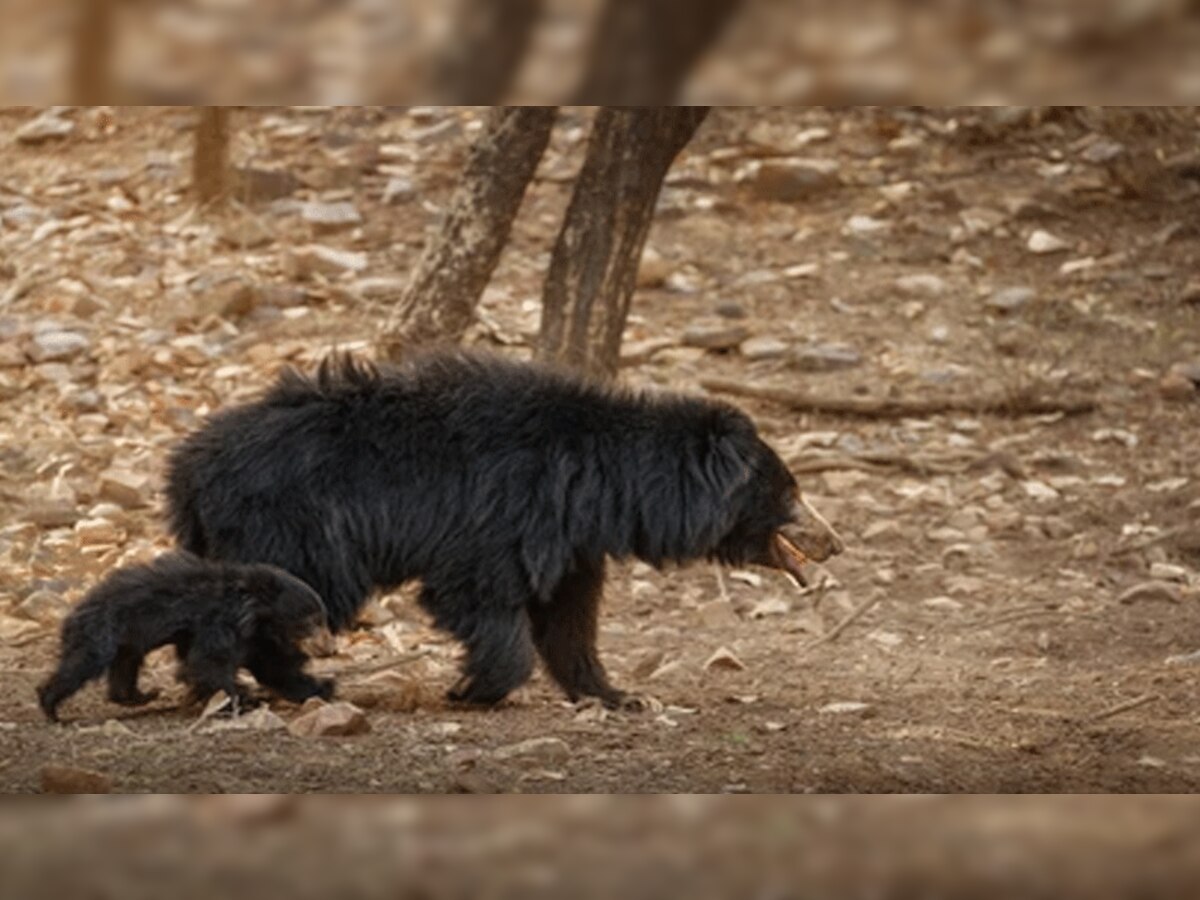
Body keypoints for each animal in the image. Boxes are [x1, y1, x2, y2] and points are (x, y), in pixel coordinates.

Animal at [38, 554, 333, 724]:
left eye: (322, 619)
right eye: (313, 621)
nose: (329, 648)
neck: (254, 613)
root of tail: (74, 612)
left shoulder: (256, 639)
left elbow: (274, 668)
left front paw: (322, 687)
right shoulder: (219, 622)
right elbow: (208, 663)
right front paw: (244, 699)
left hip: (126, 643)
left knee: (124, 669)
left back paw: (141, 695)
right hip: (102, 632)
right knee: (82, 663)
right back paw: (51, 708)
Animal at [166, 352, 844, 710]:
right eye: (790, 493)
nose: (835, 543)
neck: (600, 486)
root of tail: (188, 470)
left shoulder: (572, 543)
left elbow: (570, 620)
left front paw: (615, 695)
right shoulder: (505, 515)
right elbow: (481, 597)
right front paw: (474, 689)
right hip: (296, 529)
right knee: (281, 605)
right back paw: (301, 683)